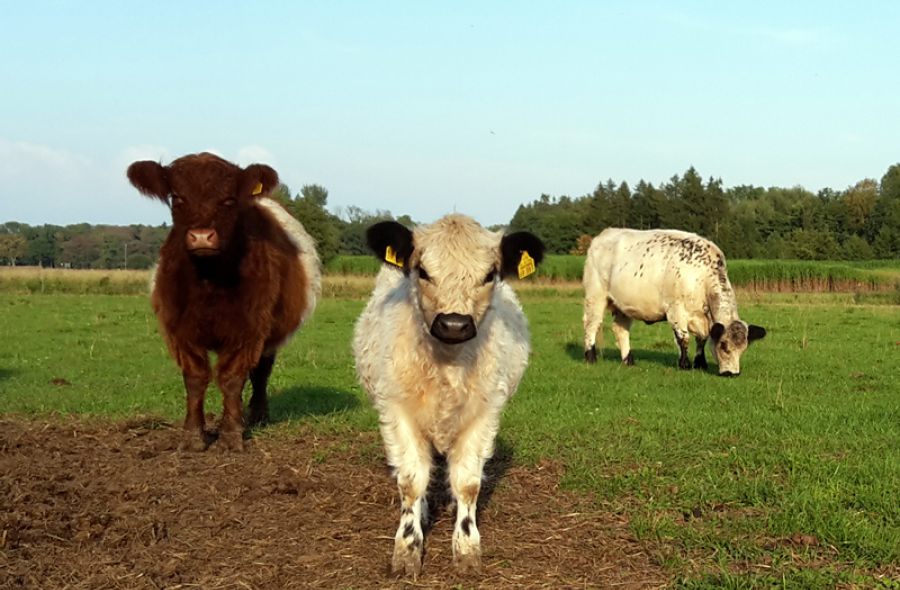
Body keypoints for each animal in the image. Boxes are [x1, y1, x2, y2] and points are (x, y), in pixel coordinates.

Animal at [125, 154, 322, 454]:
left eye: (228, 200)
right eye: (177, 197)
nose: (202, 236)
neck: (210, 280)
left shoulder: (249, 329)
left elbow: (232, 380)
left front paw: (231, 436)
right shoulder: (181, 330)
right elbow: (195, 379)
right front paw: (193, 436)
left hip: (270, 334)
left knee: (261, 372)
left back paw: (257, 415)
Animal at [354, 215, 544, 576]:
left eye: (489, 274)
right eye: (423, 271)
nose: (454, 324)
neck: (448, 365)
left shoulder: (484, 415)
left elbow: (468, 482)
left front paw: (467, 547)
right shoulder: (397, 412)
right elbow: (411, 481)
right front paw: (407, 549)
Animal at [584, 229, 768, 376]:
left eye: (743, 348)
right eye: (723, 345)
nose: (732, 373)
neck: (702, 277)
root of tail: (604, 234)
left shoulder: (704, 319)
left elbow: (702, 339)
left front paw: (700, 364)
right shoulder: (676, 310)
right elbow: (683, 338)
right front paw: (685, 365)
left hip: (623, 305)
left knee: (620, 330)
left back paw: (628, 360)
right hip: (595, 296)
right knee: (591, 324)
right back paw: (590, 357)